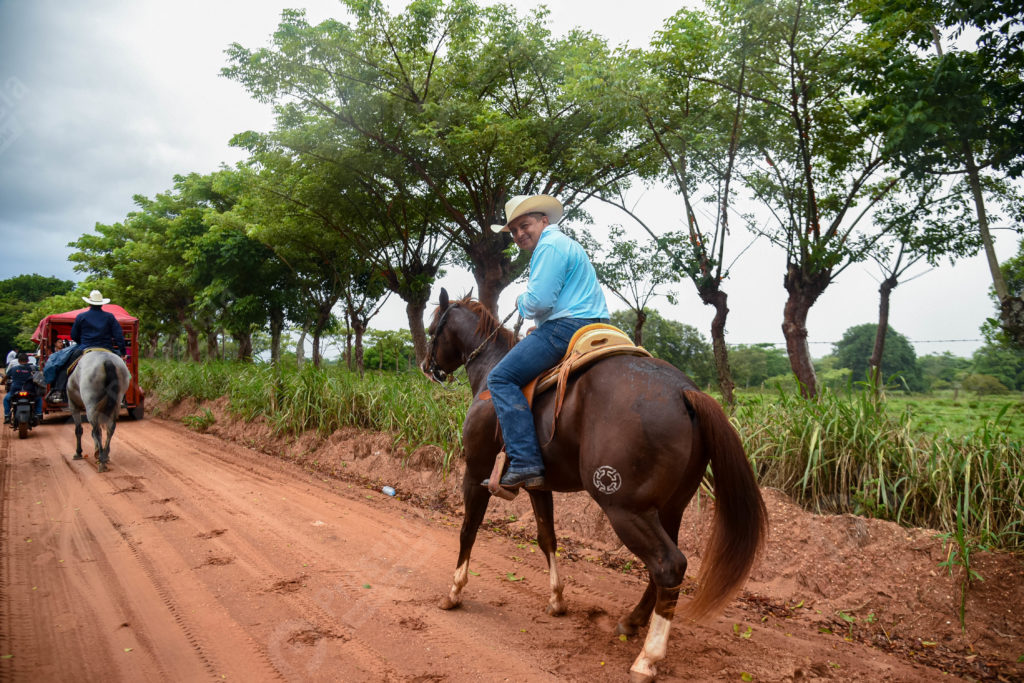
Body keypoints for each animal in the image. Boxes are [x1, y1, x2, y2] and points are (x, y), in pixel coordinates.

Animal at [423, 289, 768, 682]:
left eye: (433, 328)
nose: (427, 366)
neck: (490, 374)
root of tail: (684, 392)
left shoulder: (475, 471)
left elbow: (468, 529)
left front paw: (454, 592)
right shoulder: (538, 486)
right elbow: (547, 538)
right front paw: (557, 600)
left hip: (624, 508)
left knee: (669, 565)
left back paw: (648, 657)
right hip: (669, 508)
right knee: (665, 568)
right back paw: (633, 621)